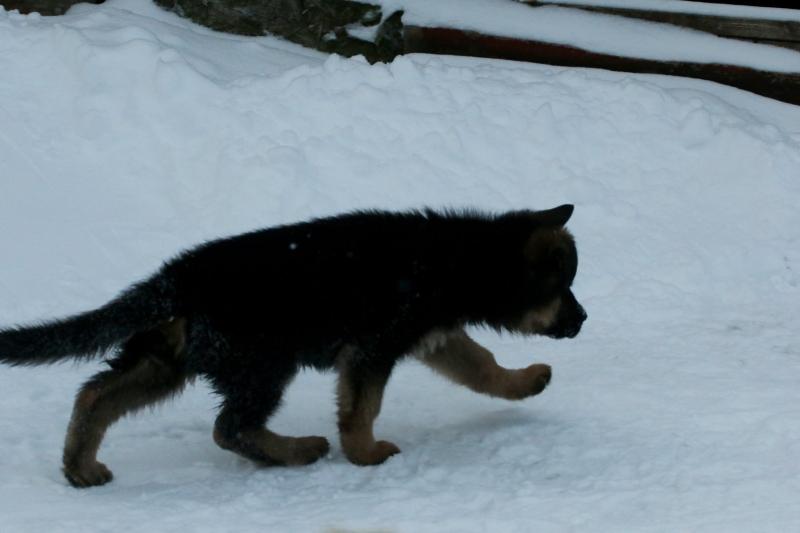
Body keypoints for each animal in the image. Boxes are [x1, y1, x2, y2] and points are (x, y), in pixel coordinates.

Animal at [0, 205, 586, 487]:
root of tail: (173, 281)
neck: (461, 259)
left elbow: (482, 367)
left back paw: (80, 466)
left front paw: (525, 382)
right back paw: (299, 450)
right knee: (230, 427)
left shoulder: (432, 336)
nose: (583, 320)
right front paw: (364, 453)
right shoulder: (374, 347)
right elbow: (361, 408)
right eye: (562, 286)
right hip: (263, 363)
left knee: (97, 396)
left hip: (169, 358)